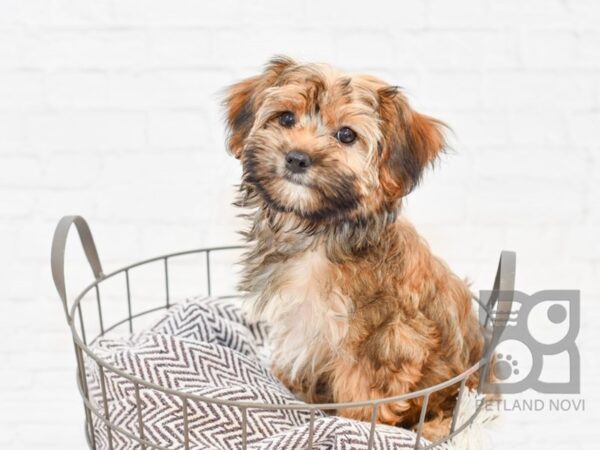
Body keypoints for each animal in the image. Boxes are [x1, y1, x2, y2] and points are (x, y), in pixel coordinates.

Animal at [223, 55, 486, 440]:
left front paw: (353, 427)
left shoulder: (388, 342)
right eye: (286, 118)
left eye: (346, 135)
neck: (319, 234)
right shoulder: (298, 328)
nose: (297, 158)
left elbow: (364, 400)